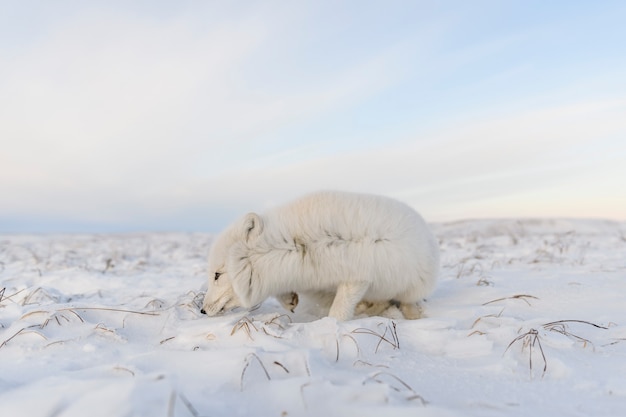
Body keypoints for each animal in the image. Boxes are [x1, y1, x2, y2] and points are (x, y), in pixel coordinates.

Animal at [200, 190, 438, 320]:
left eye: (217, 275)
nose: (201, 310)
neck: (297, 244)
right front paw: (289, 300)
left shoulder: (356, 275)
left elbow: (339, 309)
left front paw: (331, 329)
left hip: (412, 287)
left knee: (404, 301)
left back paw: (411, 314)